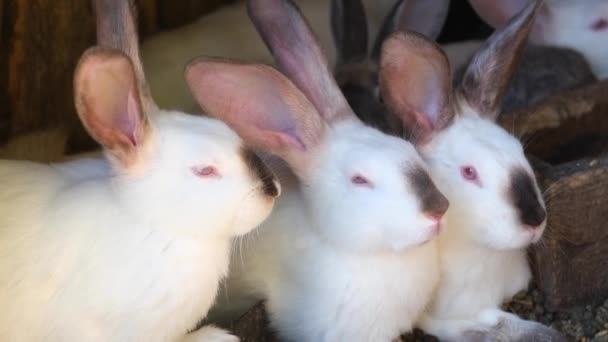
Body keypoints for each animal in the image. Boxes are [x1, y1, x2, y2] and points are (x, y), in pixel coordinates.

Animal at [380, 1, 568, 340]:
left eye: (520, 151)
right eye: (469, 172)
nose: (535, 219)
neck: (487, 255)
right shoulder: (445, 316)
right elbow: (496, 325)